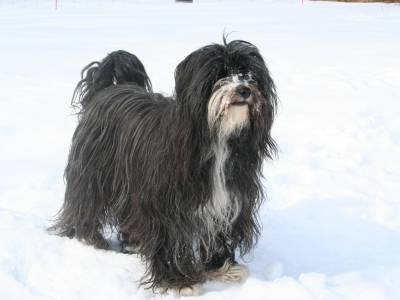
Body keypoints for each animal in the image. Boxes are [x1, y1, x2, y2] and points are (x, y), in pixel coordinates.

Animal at [50, 39, 278, 296]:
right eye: (220, 73)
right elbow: (169, 242)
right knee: (86, 203)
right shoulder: (166, 206)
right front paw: (179, 282)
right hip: (94, 172)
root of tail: (105, 90)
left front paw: (221, 267)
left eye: (249, 73)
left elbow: (217, 233)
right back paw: (89, 238)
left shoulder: (227, 201)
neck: (216, 138)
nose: (244, 89)